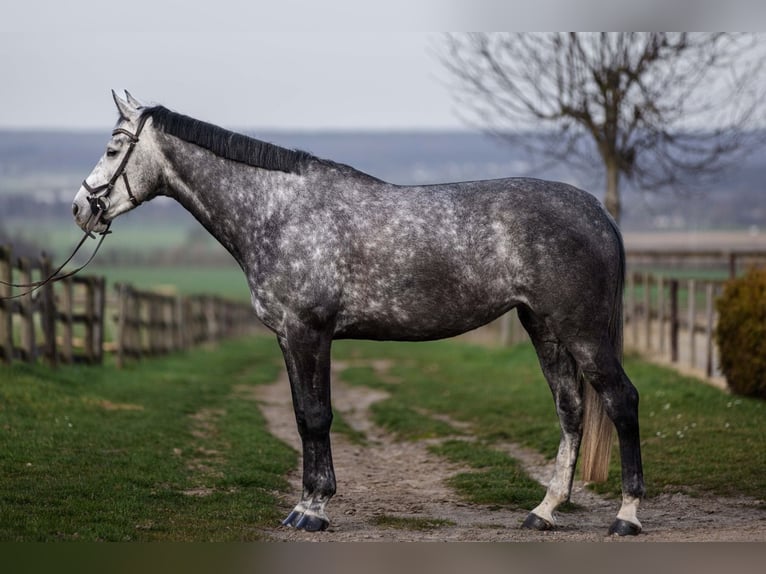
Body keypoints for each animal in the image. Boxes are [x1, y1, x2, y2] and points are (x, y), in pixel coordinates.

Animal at [72, 91, 644, 536]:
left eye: (114, 147)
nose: (81, 208)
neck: (278, 212)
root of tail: (598, 212)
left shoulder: (309, 333)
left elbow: (317, 416)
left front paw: (313, 509)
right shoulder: (288, 336)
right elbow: (303, 416)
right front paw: (306, 504)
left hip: (582, 332)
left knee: (621, 401)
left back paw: (627, 516)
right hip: (544, 328)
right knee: (571, 410)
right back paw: (544, 511)